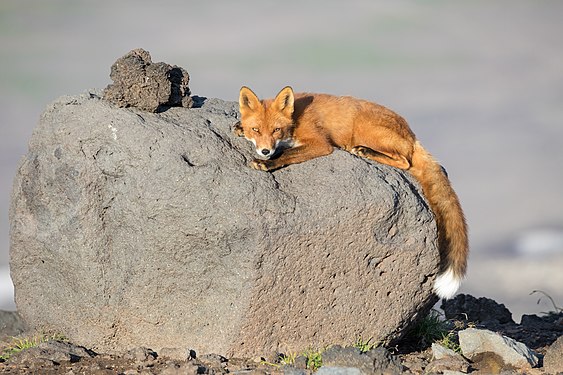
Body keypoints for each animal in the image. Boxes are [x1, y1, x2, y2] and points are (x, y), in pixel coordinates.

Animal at [236, 85, 470, 300]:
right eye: (256, 130)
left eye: (276, 130)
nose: (265, 151)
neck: (295, 119)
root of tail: (412, 134)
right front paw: (239, 127)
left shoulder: (320, 143)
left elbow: (287, 154)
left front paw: (268, 163)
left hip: (366, 130)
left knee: (405, 162)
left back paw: (364, 151)